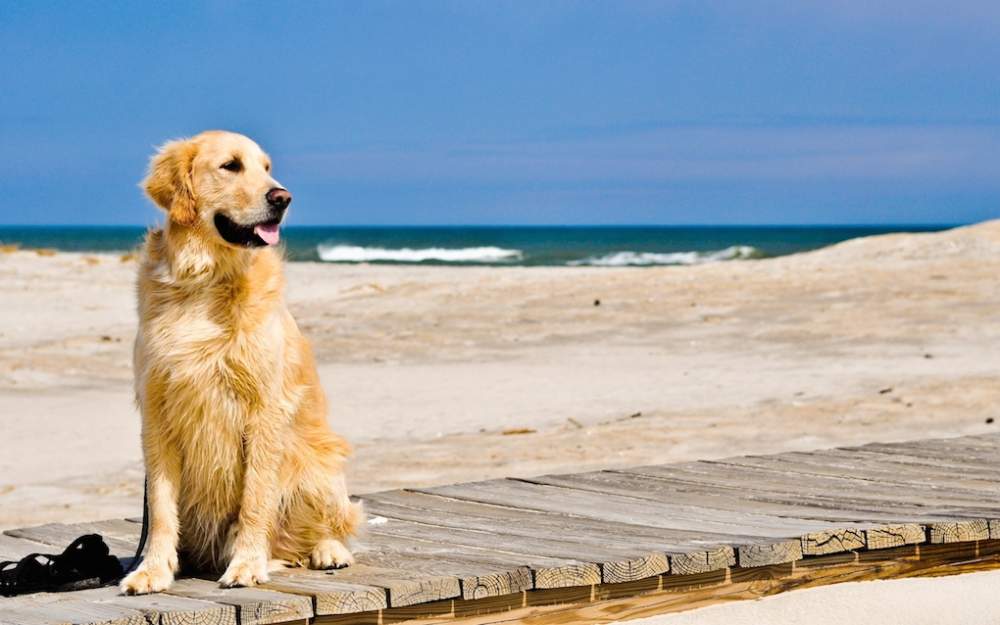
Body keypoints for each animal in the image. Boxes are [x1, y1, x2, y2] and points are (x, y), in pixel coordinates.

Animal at [120, 129, 362, 592]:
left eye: (266, 168)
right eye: (231, 166)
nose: (282, 197)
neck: (204, 280)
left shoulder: (264, 409)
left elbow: (255, 497)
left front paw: (247, 564)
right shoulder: (156, 412)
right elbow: (160, 507)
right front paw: (153, 569)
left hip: (317, 463)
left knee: (327, 525)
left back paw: (328, 551)